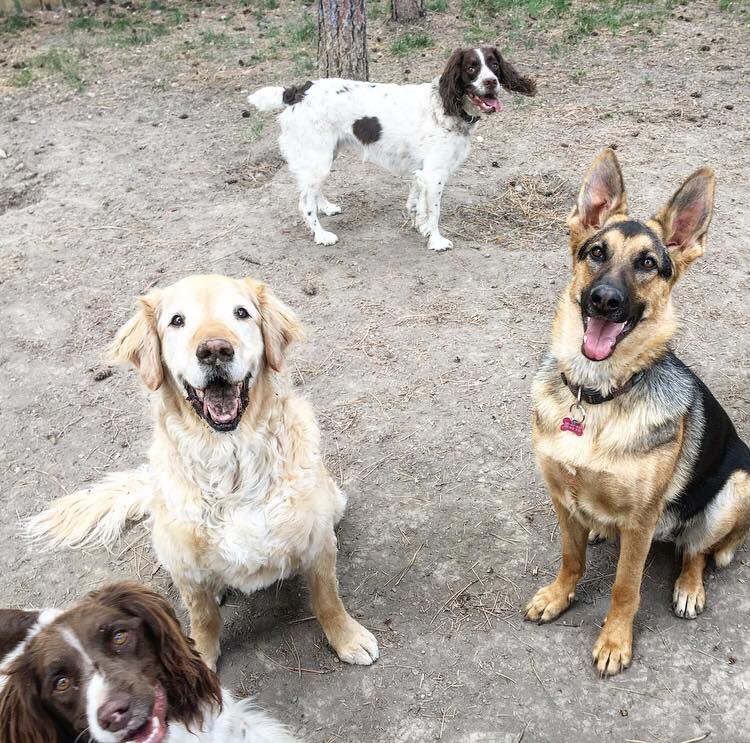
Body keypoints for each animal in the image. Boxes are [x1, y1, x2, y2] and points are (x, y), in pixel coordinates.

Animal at [29, 274, 379, 672]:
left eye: (241, 313)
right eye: (177, 321)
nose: (215, 350)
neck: (232, 459)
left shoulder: (318, 539)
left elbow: (328, 598)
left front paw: (347, 638)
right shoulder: (184, 567)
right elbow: (203, 617)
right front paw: (200, 656)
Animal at [248, 47, 536, 251]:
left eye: (494, 64)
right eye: (472, 67)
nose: (491, 82)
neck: (445, 106)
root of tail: (297, 91)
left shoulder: (423, 172)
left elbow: (417, 202)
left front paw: (421, 226)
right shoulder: (435, 174)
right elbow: (435, 210)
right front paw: (436, 240)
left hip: (324, 156)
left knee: (312, 190)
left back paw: (327, 207)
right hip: (317, 157)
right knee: (304, 201)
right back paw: (321, 234)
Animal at [525, 149, 750, 676]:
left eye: (648, 263)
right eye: (596, 253)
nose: (605, 301)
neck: (597, 396)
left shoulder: (641, 520)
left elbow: (624, 587)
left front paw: (614, 641)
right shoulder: (560, 496)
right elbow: (571, 559)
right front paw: (559, 596)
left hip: (735, 489)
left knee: (697, 550)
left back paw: (688, 587)